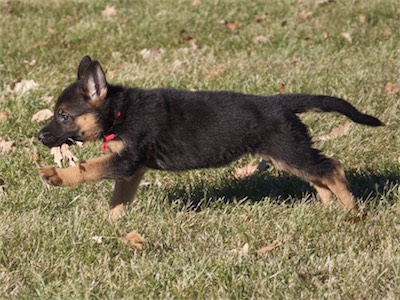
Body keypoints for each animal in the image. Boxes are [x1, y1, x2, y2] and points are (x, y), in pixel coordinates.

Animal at [39, 55, 382, 220]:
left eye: (63, 115)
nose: (41, 136)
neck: (119, 112)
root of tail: (279, 103)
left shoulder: (125, 160)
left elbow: (87, 168)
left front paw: (56, 175)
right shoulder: (131, 169)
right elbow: (118, 200)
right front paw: (111, 224)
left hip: (288, 150)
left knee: (332, 168)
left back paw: (352, 210)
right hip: (287, 153)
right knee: (318, 175)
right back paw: (327, 207)